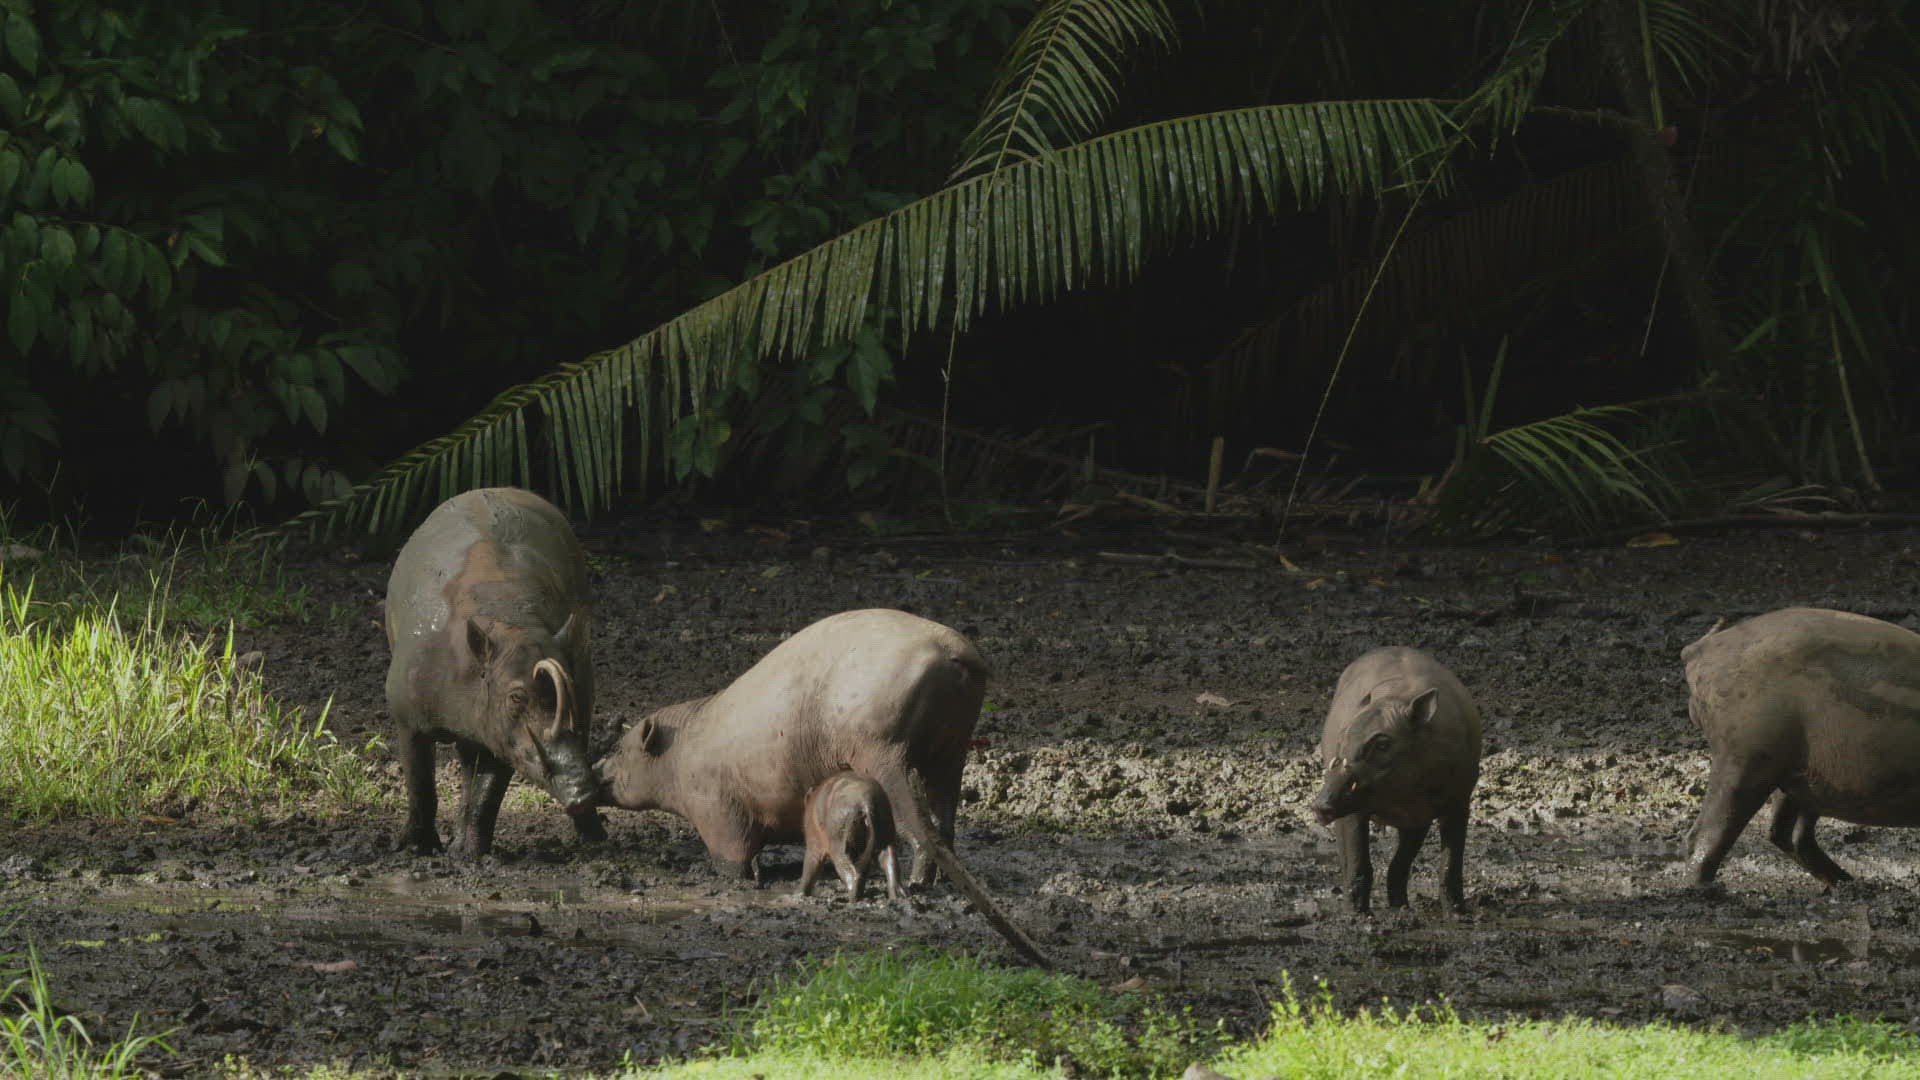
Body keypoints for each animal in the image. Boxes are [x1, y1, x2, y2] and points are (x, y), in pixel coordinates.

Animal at [384, 487, 604, 858]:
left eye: (566, 689)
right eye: (516, 696)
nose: (582, 792)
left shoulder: (502, 732)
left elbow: (487, 793)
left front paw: (470, 855)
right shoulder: (408, 715)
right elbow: (420, 785)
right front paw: (416, 848)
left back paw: (594, 839)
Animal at [800, 772, 900, 901]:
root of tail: (865, 803)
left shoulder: (814, 843)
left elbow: (810, 866)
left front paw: (799, 893)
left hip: (838, 845)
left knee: (850, 871)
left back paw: (853, 899)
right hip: (886, 833)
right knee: (889, 861)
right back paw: (897, 896)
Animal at [1311, 646, 1483, 913]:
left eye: (1382, 744)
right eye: (1342, 739)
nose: (1320, 807)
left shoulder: (1458, 801)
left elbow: (1450, 864)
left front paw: (1457, 914)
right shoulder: (1352, 808)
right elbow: (1358, 864)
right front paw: (1357, 915)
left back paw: (1401, 907)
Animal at [1682, 607, 1920, 888]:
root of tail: (1701, 649)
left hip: (1798, 775)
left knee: (1787, 834)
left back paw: (1846, 883)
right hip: (1744, 755)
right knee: (1707, 835)